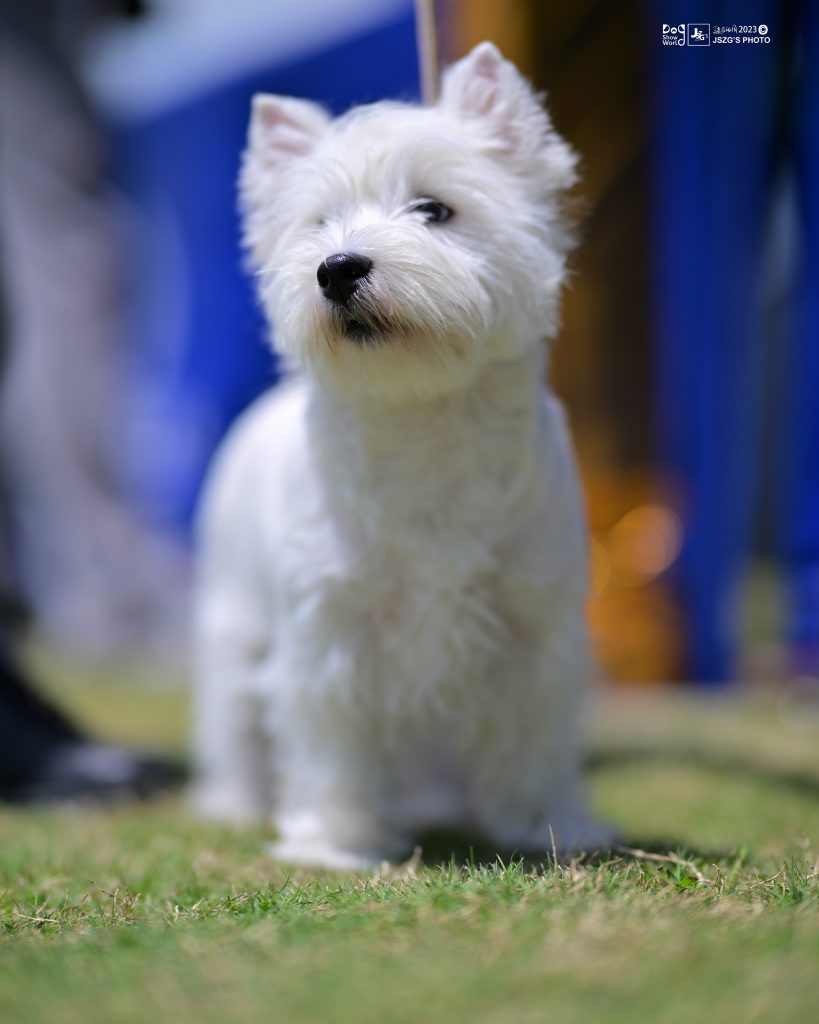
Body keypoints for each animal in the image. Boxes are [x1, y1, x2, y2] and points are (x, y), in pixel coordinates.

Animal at [192, 42, 613, 869]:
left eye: (434, 209)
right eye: (318, 221)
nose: (337, 267)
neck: (423, 420)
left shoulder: (530, 624)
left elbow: (533, 737)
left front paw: (546, 826)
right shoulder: (331, 630)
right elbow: (334, 744)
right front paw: (335, 843)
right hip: (236, 617)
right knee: (233, 717)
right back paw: (232, 804)